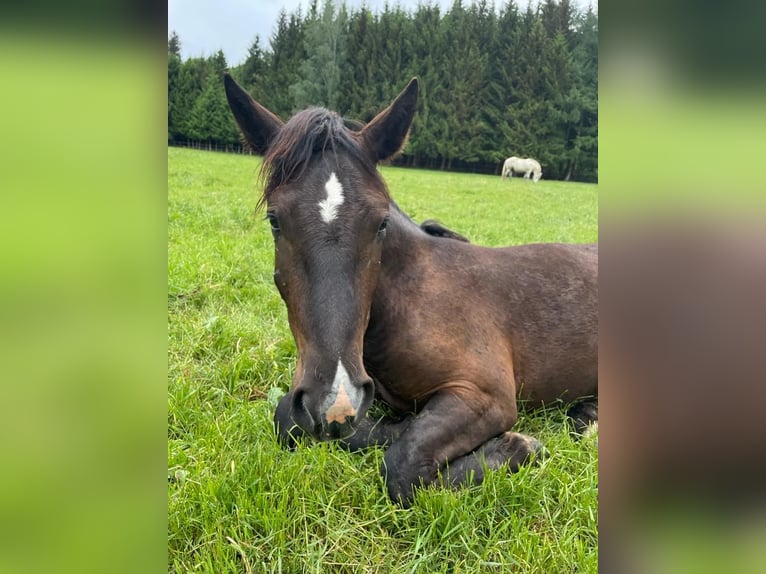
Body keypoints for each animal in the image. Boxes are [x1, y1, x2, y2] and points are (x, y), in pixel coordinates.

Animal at [224, 75, 600, 508]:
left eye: (381, 222)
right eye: (274, 220)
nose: (335, 401)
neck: (410, 298)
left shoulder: (485, 394)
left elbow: (403, 466)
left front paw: (517, 447)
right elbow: (288, 416)